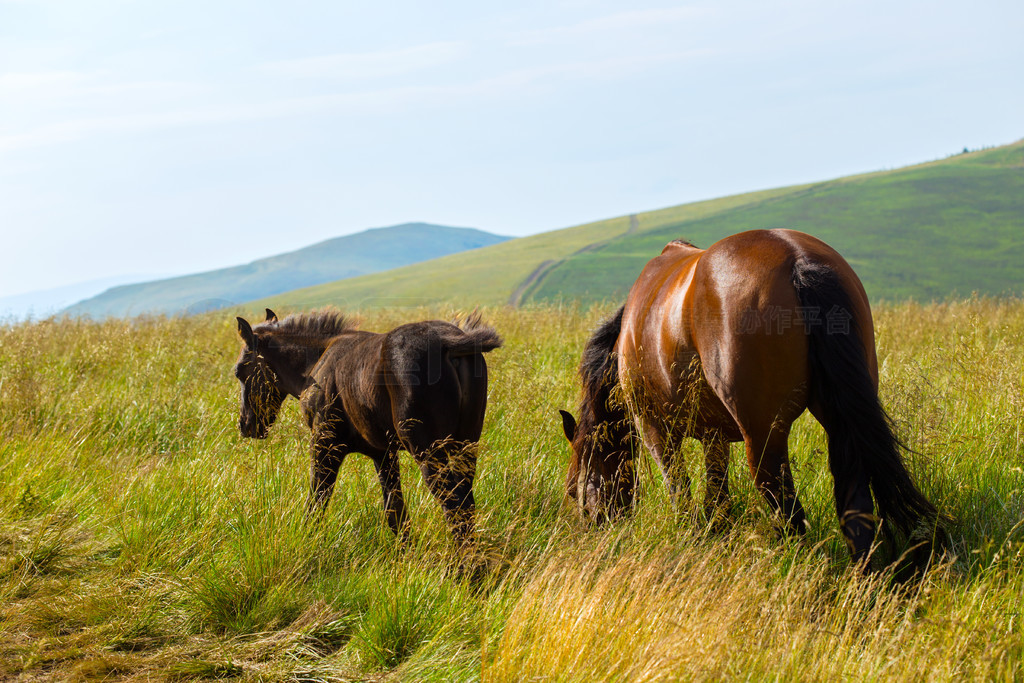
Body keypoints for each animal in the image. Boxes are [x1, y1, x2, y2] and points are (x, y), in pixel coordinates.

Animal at [233, 309, 503, 544]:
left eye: (239, 371)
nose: (245, 425)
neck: (316, 362)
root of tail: (450, 343)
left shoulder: (325, 445)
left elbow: (316, 503)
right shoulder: (383, 454)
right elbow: (395, 513)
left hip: (429, 453)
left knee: (454, 508)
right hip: (465, 447)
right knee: (466, 505)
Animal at [565, 229, 937, 565]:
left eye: (574, 487)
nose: (593, 525)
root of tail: (798, 259)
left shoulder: (654, 428)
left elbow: (680, 492)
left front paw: (692, 537)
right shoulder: (713, 435)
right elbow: (716, 493)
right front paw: (715, 532)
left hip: (762, 437)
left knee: (788, 511)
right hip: (839, 426)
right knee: (854, 504)